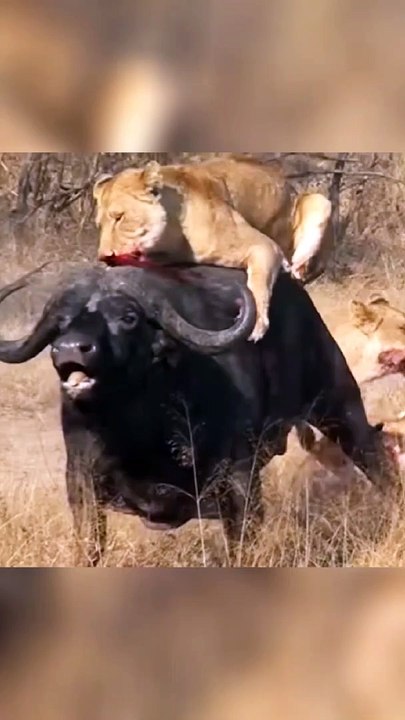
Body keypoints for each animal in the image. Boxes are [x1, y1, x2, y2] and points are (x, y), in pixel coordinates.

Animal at [0, 264, 391, 565]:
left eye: (128, 317)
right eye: (60, 322)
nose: (69, 349)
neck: (139, 428)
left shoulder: (240, 479)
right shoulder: (81, 479)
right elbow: (90, 546)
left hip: (338, 404)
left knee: (375, 459)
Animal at [93, 156, 332, 342]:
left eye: (119, 218)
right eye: (99, 225)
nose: (103, 257)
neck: (170, 241)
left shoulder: (264, 246)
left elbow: (258, 283)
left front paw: (256, 325)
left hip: (319, 201)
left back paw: (295, 268)